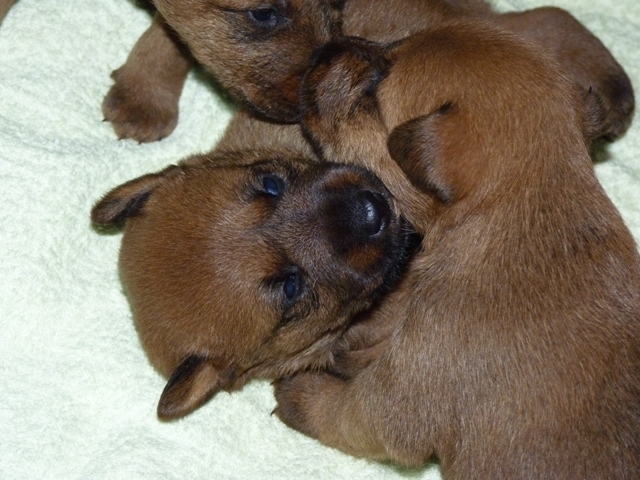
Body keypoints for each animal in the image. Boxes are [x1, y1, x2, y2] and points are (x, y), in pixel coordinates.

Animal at [102, 0, 633, 143]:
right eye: (262, 14)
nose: (307, 105)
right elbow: (170, 29)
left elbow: (170, 28)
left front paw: (141, 96)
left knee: (546, 19)